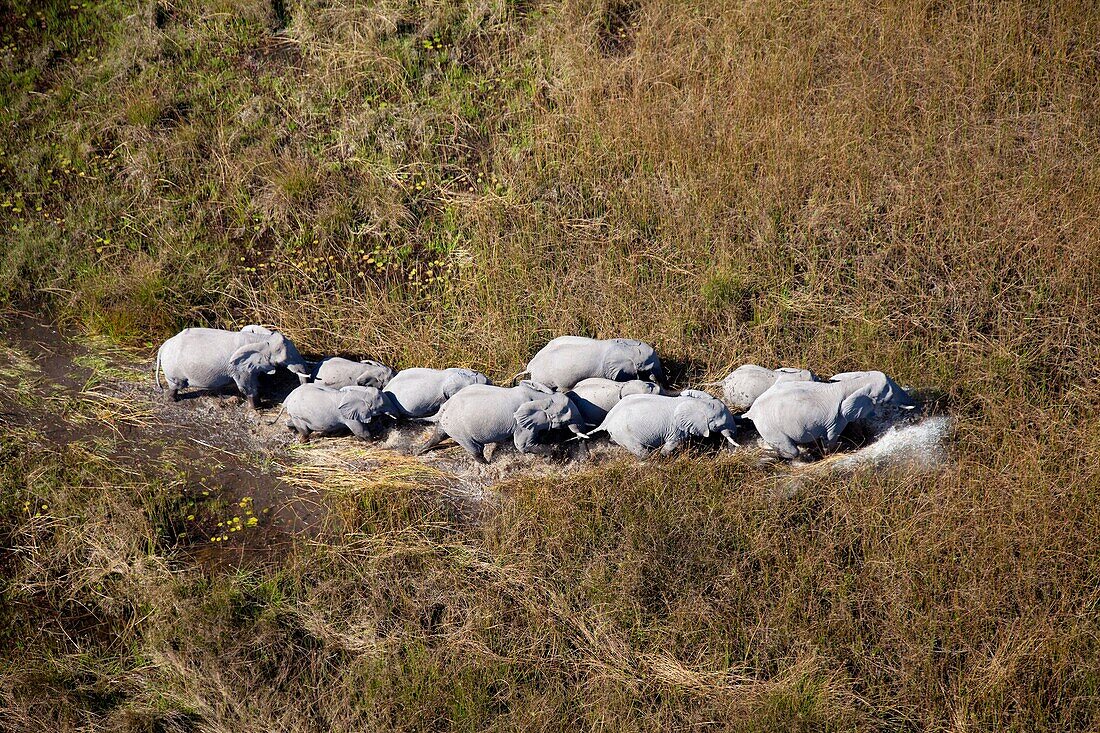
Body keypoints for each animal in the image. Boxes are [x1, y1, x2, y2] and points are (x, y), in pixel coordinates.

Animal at [154, 325, 310, 407]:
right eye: (285, 358)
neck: (260, 339)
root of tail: (163, 346)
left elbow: (254, 381)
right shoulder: (239, 368)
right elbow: (246, 386)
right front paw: (255, 408)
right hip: (173, 370)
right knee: (176, 385)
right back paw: (172, 400)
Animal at [413, 378, 589, 460]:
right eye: (566, 413)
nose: (588, 457)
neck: (540, 397)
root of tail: (444, 407)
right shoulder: (521, 425)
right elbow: (522, 446)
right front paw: (558, 453)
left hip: (449, 424)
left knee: (439, 434)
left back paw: (418, 452)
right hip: (460, 429)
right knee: (476, 449)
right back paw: (487, 463)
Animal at [585, 387, 739, 457]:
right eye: (718, 425)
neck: (698, 404)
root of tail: (607, 420)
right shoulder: (676, 429)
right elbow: (672, 444)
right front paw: (663, 456)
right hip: (625, 435)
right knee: (641, 452)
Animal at [743, 372, 915, 457]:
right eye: (887, 394)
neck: (852, 384)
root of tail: (751, 411)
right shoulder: (837, 418)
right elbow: (830, 438)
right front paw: (830, 452)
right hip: (771, 428)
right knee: (792, 452)